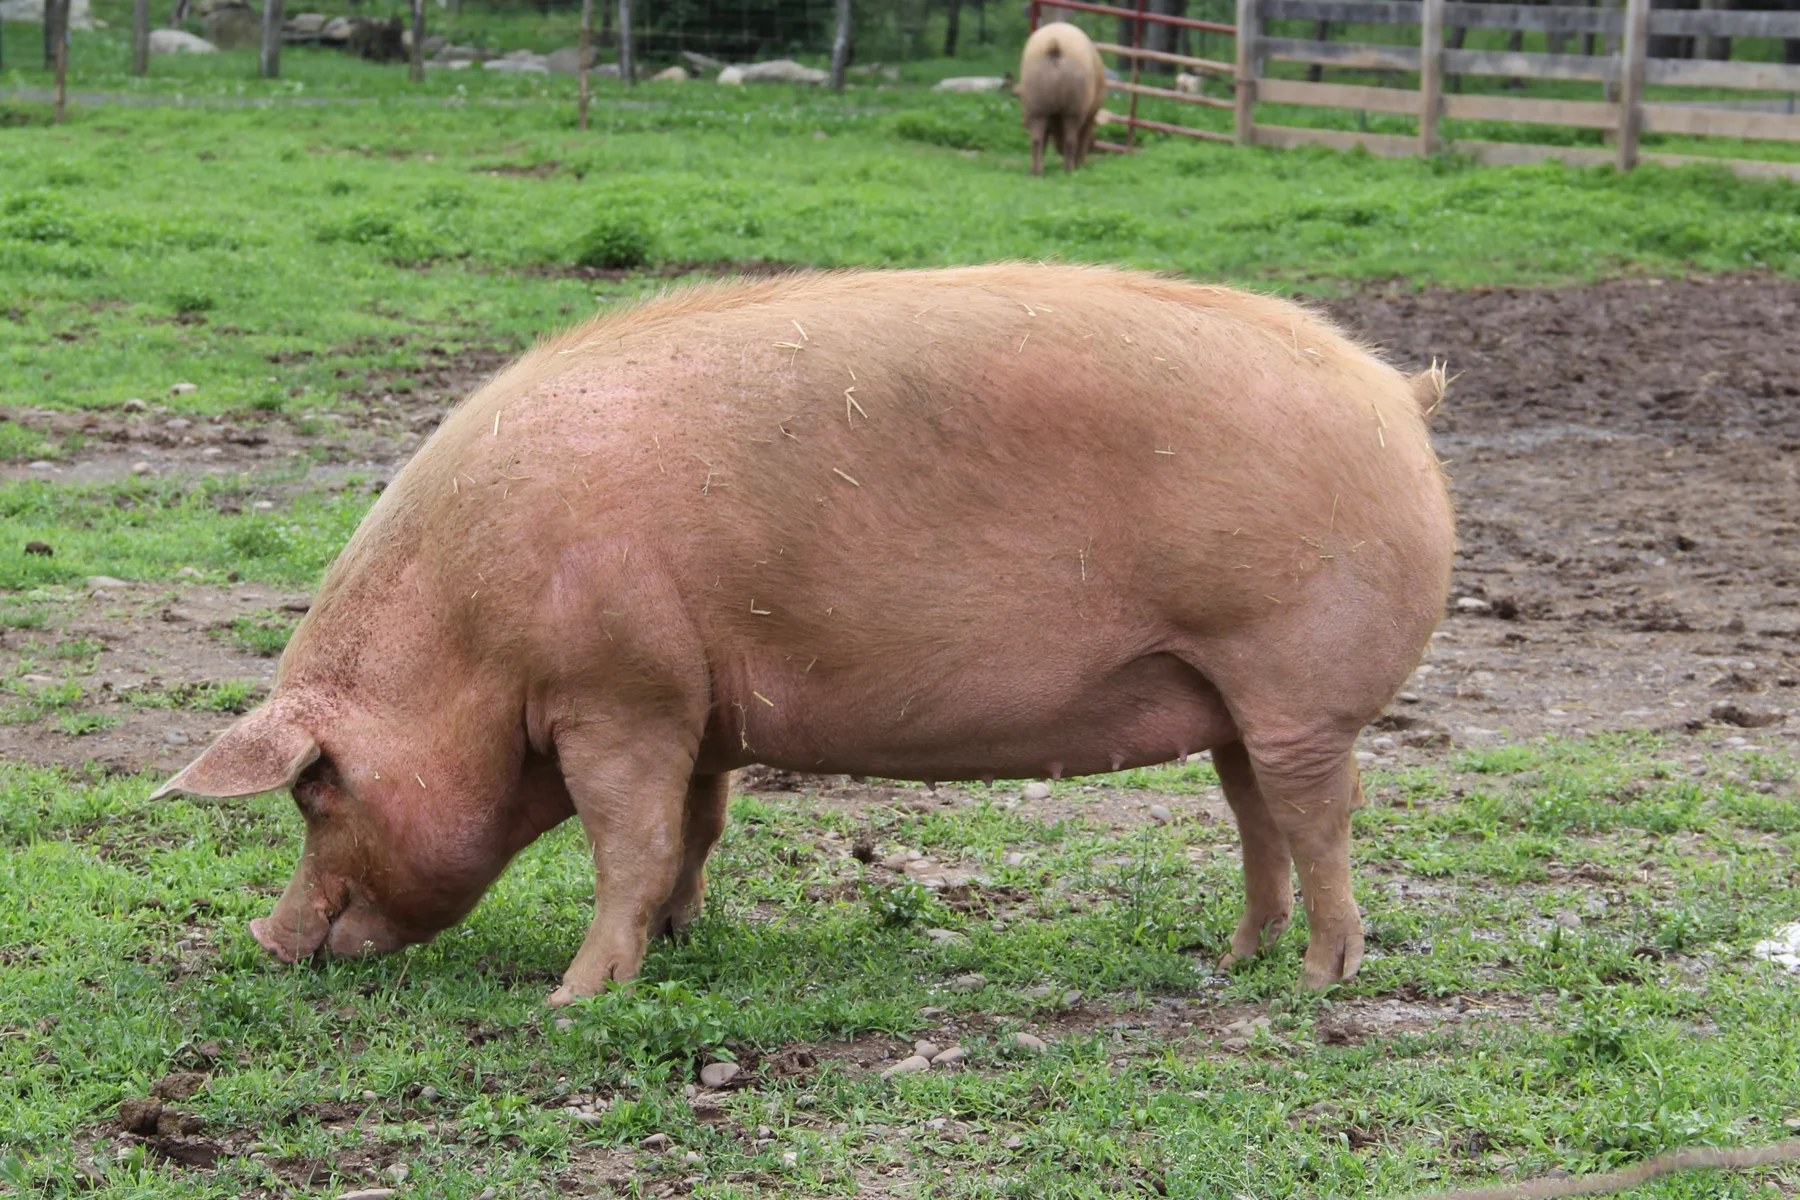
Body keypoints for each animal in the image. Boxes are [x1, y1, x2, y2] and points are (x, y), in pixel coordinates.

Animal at [154, 263, 1455, 1006]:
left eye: (313, 792)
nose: (265, 942)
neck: (466, 642)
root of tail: (1396, 393)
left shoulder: (617, 693)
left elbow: (627, 844)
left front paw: (573, 1001)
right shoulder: (694, 705)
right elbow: (696, 829)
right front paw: (684, 940)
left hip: (1295, 673)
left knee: (1319, 814)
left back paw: (1321, 983)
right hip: (1233, 694)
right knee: (1256, 817)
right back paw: (1232, 963)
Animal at [1018, 21, 1108, 176]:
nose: (1094, 145)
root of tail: (1055, 44)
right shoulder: (1090, 116)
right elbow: (1083, 137)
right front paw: (1081, 165)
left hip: (1035, 102)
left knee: (1036, 139)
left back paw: (1036, 171)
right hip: (1074, 106)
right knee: (1070, 139)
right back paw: (1069, 170)